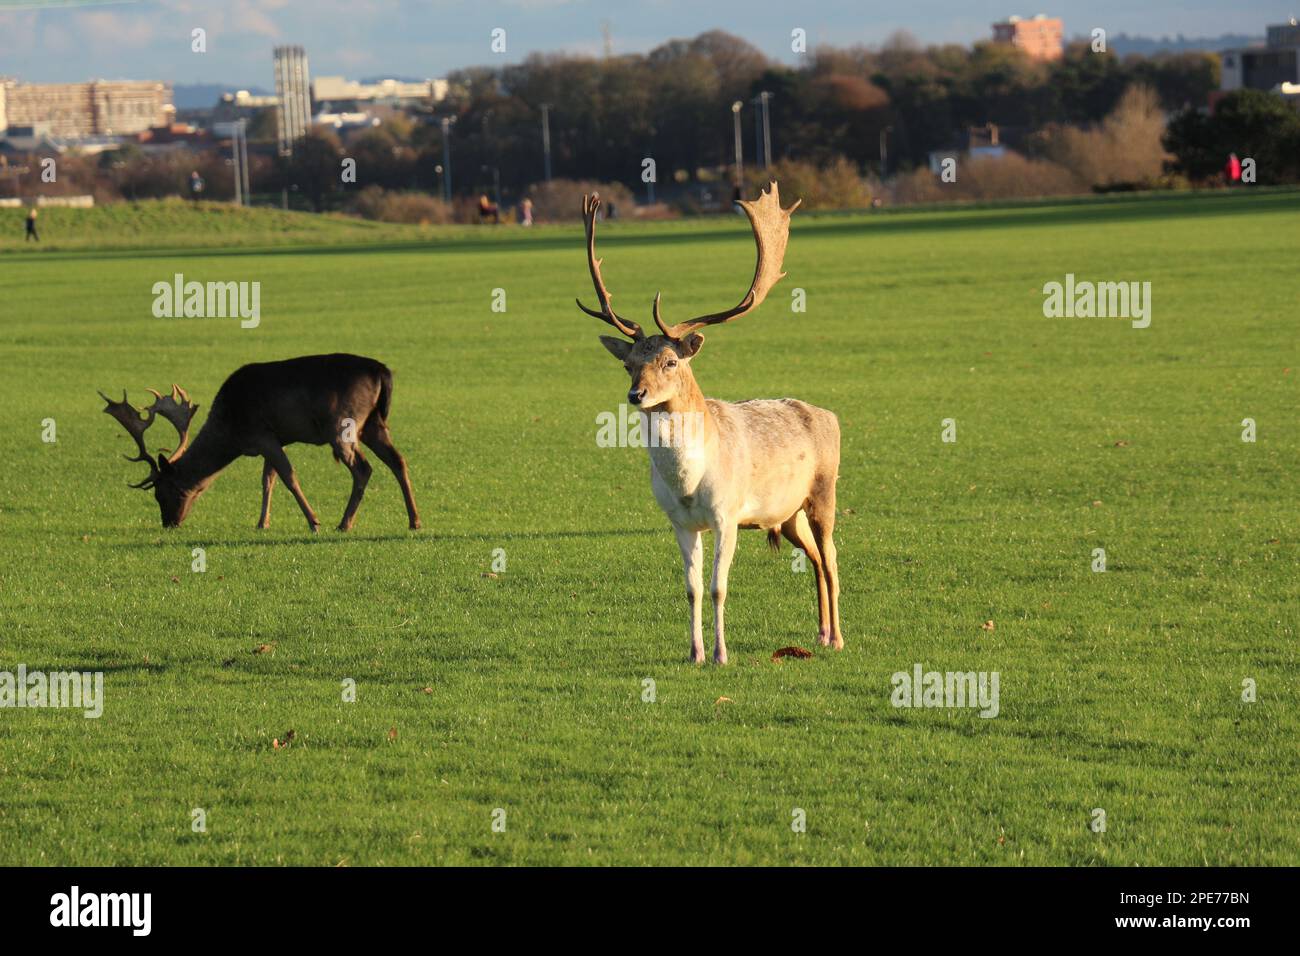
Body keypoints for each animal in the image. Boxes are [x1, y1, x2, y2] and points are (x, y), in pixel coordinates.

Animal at [99, 353, 420, 532]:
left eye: (162, 492)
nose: (169, 523)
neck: (231, 431)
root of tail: (382, 371)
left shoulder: (261, 434)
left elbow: (288, 477)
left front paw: (313, 522)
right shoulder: (275, 438)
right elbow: (268, 479)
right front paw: (262, 522)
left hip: (342, 424)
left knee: (364, 468)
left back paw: (344, 523)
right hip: (373, 423)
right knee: (399, 460)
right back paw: (414, 520)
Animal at [579, 182, 843, 665]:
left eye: (670, 361)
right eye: (628, 364)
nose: (635, 395)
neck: (689, 483)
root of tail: (828, 415)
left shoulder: (727, 514)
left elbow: (719, 587)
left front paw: (721, 655)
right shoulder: (680, 522)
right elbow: (692, 589)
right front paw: (694, 653)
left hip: (823, 490)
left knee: (832, 556)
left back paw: (836, 637)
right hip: (787, 512)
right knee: (815, 558)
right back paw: (818, 633)